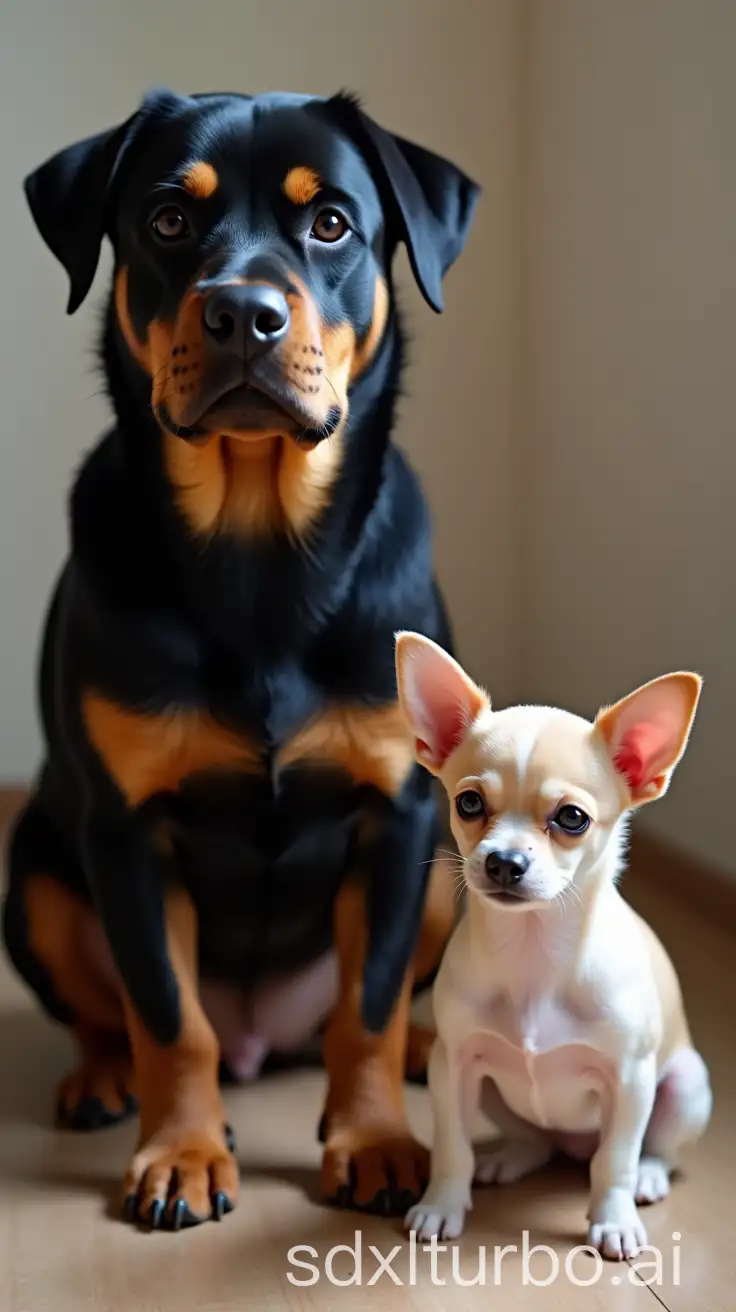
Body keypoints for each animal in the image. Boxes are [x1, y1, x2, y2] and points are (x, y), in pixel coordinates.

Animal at [5, 89, 480, 1228]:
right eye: (170, 219)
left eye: (332, 223)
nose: (242, 314)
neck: (259, 552)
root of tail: (266, 1039)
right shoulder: (124, 827)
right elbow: (169, 1016)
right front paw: (179, 1152)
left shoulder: (398, 814)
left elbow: (367, 1006)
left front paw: (374, 1139)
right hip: (34, 872)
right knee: (117, 1014)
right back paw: (101, 1077)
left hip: (446, 872)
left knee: (377, 1005)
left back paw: (431, 1052)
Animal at [396, 635, 713, 1259]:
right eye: (469, 804)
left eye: (572, 818)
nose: (504, 861)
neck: (533, 950)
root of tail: (571, 1148)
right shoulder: (452, 1064)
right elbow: (452, 1145)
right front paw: (443, 1203)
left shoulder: (630, 1079)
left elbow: (614, 1159)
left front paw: (612, 1219)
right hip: (493, 1092)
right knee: (536, 1139)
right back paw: (513, 1157)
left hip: (685, 1087)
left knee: (646, 1150)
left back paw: (648, 1177)